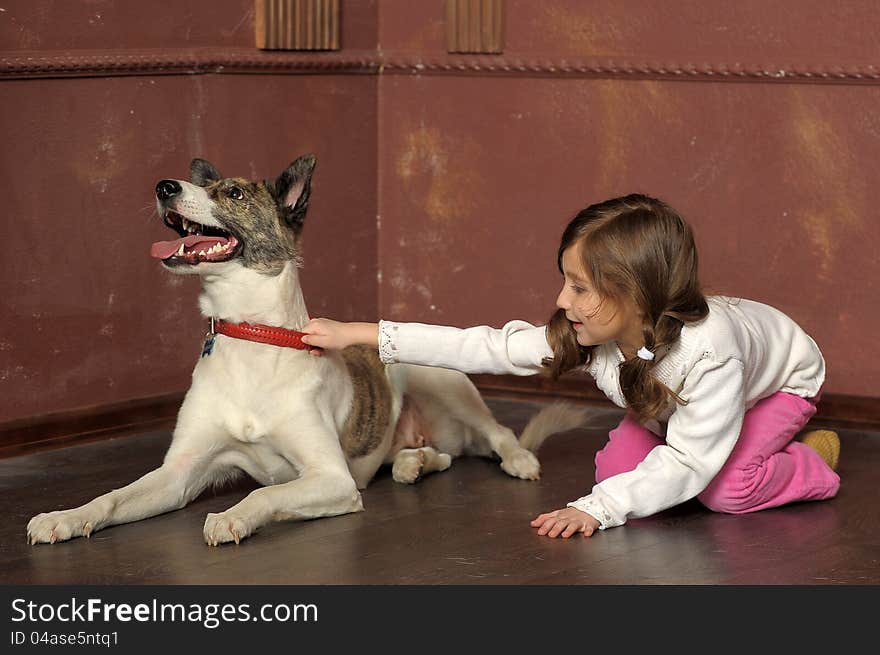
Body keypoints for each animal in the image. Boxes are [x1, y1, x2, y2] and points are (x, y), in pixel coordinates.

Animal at [25, 156, 584, 544]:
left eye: (233, 192)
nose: (164, 186)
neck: (252, 337)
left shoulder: (331, 477)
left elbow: (265, 490)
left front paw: (229, 517)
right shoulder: (180, 473)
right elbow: (113, 496)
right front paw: (65, 517)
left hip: (440, 378)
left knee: (499, 432)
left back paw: (517, 460)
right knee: (437, 456)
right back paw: (413, 462)